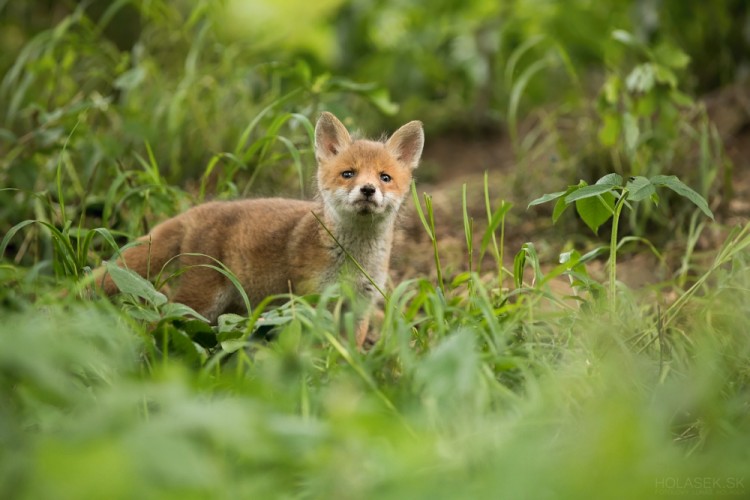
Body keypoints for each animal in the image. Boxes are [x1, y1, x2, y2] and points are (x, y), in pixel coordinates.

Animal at [95, 112, 424, 348]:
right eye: (348, 174)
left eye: (384, 178)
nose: (368, 190)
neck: (352, 261)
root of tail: (198, 210)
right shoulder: (310, 299)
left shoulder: (360, 305)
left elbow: (348, 352)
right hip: (201, 301)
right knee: (161, 322)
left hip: (228, 309)